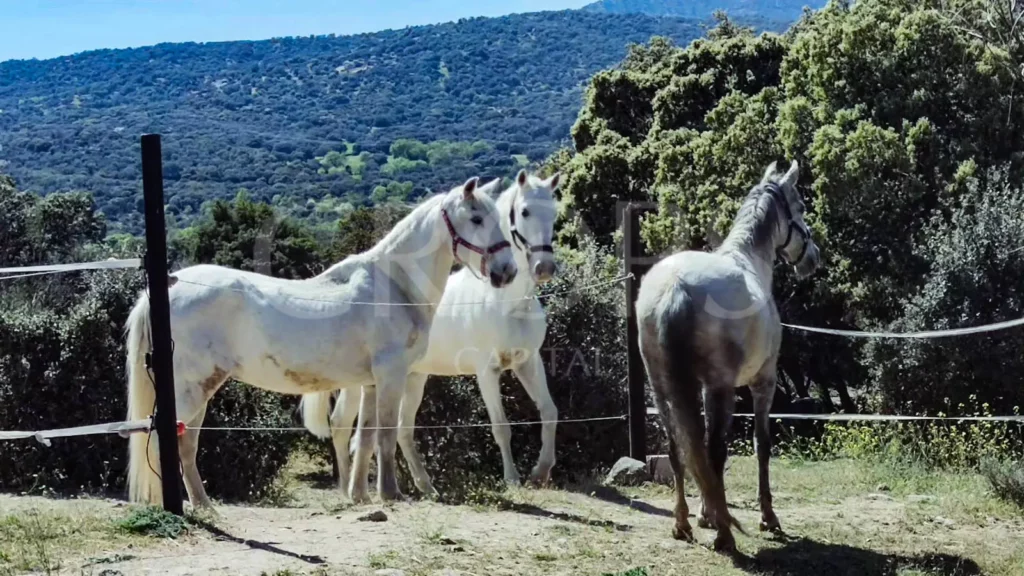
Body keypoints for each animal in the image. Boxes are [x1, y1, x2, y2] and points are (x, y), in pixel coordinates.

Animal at [123, 176, 516, 506]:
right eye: (476, 218)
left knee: (185, 444)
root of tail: (166, 289)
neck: (394, 286)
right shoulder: (391, 375)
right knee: (164, 442)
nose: (507, 271)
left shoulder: (370, 383)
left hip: (200, 390)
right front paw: (391, 494)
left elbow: (366, 438)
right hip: (191, 388)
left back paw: (205, 506)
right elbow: (386, 435)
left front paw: (360, 495)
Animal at [303, 167, 561, 498]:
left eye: (554, 212)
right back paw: (348, 488)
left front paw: (540, 472)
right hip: (356, 384)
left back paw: (425, 487)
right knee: (340, 426)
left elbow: (549, 412)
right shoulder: (487, 370)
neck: (508, 303)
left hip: (414, 377)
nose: (544, 267)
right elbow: (501, 426)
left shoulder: (528, 362)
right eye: (525, 211)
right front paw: (513, 480)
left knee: (402, 429)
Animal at [634, 158, 819, 549]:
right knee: (714, 450)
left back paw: (683, 524)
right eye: (800, 207)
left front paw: (706, 514)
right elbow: (761, 445)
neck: (749, 261)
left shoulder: (702, 390)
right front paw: (767, 517)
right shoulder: (762, 383)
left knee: (678, 449)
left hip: (662, 389)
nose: (813, 258)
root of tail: (674, 288)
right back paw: (724, 535)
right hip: (723, 389)